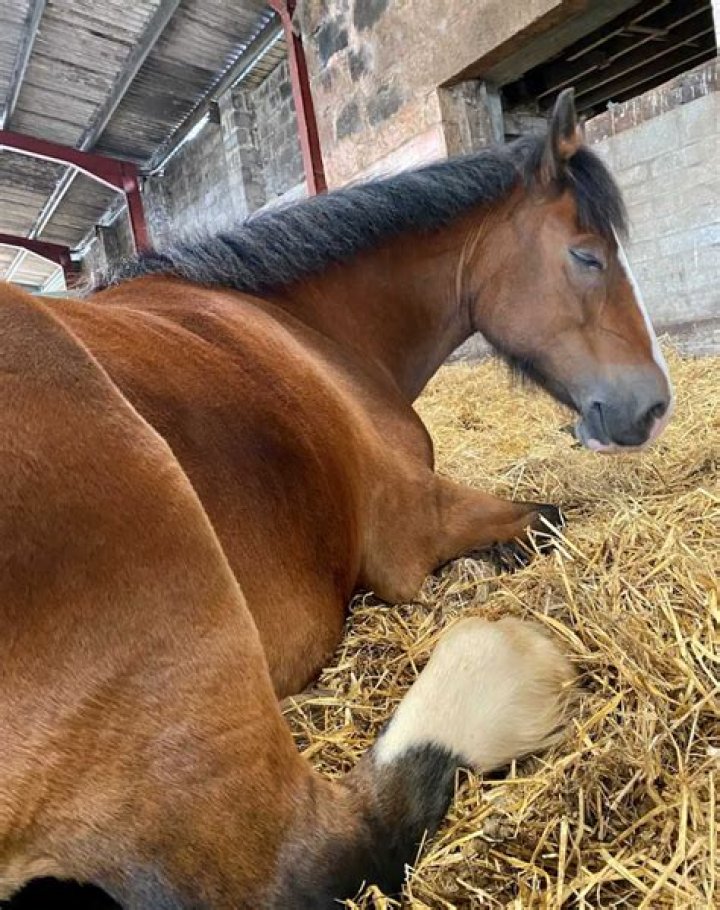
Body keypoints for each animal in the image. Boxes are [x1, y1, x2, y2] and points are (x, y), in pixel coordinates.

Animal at [0, 89, 669, 907]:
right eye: (587, 255)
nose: (653, 407)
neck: (311, 328)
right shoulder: (414, 525)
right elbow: (547, 518)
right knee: (315, 854)